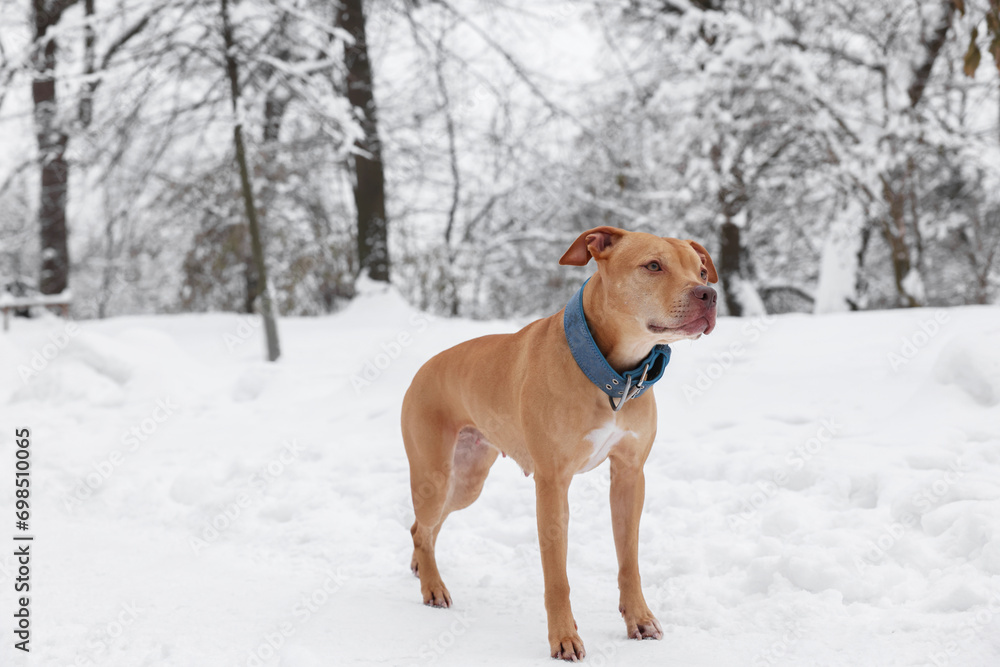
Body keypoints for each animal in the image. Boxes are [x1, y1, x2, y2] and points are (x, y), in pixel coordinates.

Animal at [402, 227, 716, 660]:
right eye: (653, 266)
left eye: (701, 271)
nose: (709, 294)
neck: (612, 374)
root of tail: (423, 369)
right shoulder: (552, 484)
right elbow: (557, 576)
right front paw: (564, 637)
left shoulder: (629, 476)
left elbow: (629, 559)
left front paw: (639, 619)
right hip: (436, 474)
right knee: (422, 527)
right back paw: (433, 587)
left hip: (467, 480)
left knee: (423, 527)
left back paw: (421, 569)